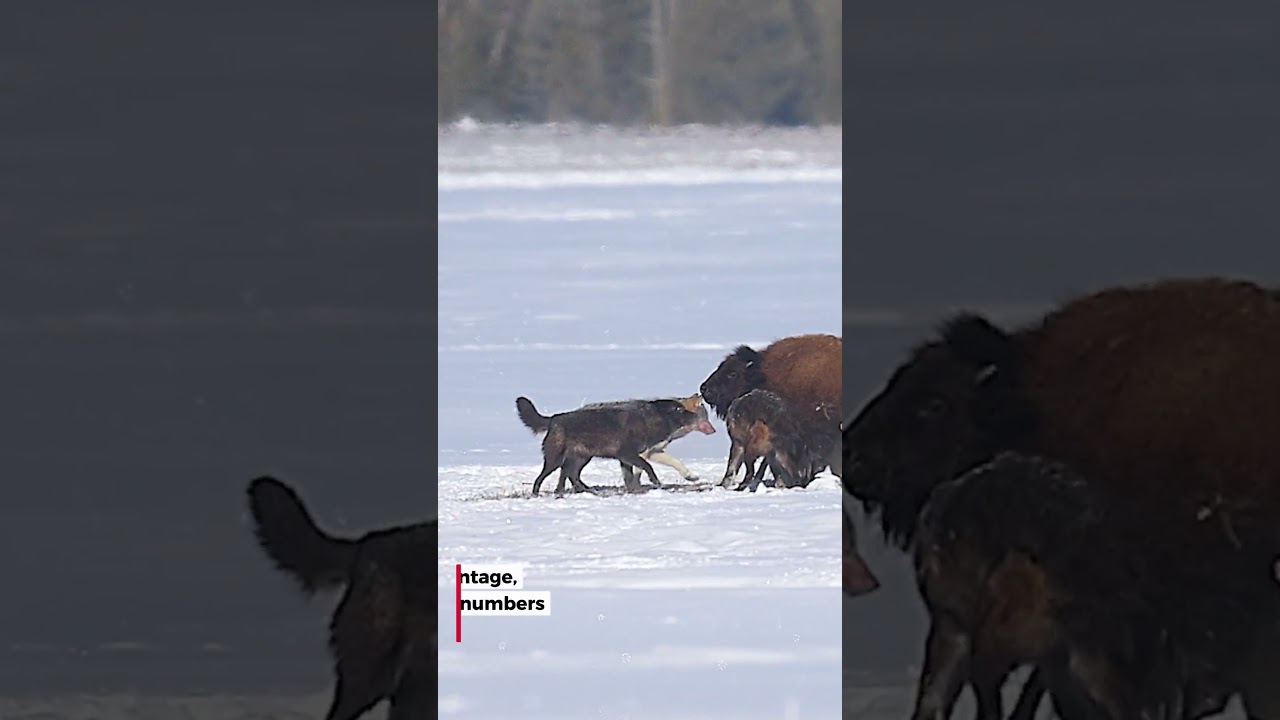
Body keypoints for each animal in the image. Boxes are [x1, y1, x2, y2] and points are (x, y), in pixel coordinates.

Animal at [515, 392, 716, 496]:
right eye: (678, 410)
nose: (713, 430)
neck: (649, 421)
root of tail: (554, 419)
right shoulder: (629, 454)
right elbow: (647, 467)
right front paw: (653, 482)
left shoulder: (638, 455)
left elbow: (637, 473)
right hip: (556, 460)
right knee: (544, 477)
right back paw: (539, 493)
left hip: (581, 458)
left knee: (570, 475)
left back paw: (576, 490)